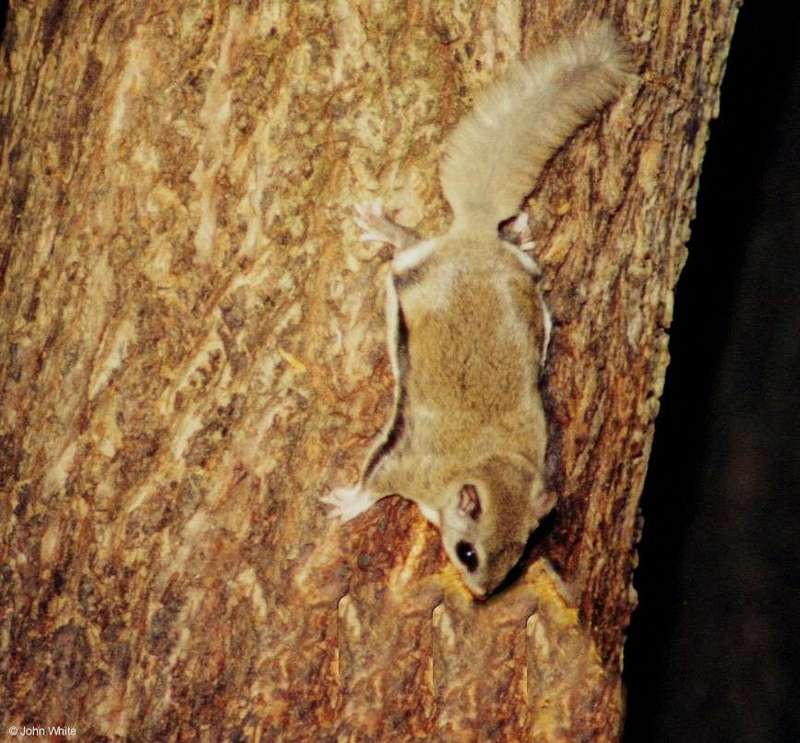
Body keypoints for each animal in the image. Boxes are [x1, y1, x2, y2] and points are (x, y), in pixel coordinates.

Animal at [320, 20, 632, 600]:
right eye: (467, 552)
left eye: (518, 555)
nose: (483, 594)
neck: (488, 462)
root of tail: (477, 238)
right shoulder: (406, 464)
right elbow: (373, 483)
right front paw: (349, 503)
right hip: (419, 271)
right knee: (407, 248)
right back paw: (387, 229)